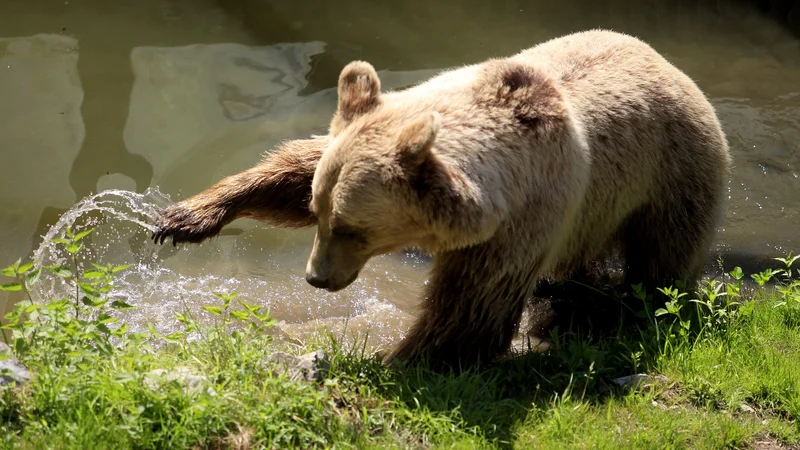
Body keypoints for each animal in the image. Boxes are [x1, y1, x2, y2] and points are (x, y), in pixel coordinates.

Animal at [152, 30, 732, 370]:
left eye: (353, 229)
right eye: (319, 214)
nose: (316, 278)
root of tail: (668, 63)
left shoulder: (520, 221)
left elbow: (468, 313)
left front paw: (387, 358)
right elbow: (293, 170)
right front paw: (186, 217)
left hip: (670, 178)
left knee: (661, 264)